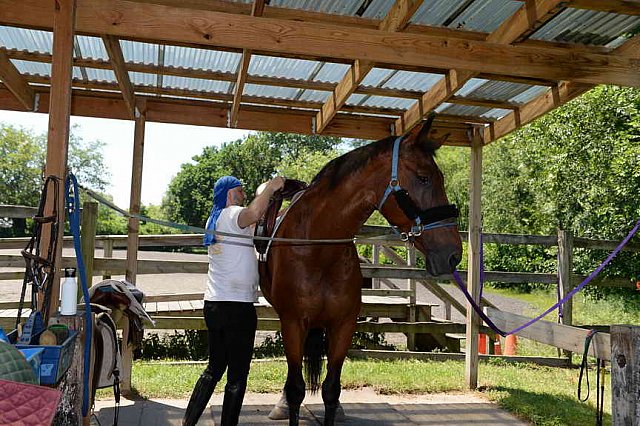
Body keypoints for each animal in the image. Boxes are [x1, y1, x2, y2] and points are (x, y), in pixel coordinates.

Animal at [258, 115, 462, 424]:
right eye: (423, 177)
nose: (453, 254)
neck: (318, 246)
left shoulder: (344, 325)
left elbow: (331, 390)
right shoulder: (293, 323)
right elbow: (295, 390)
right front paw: (286, 403)